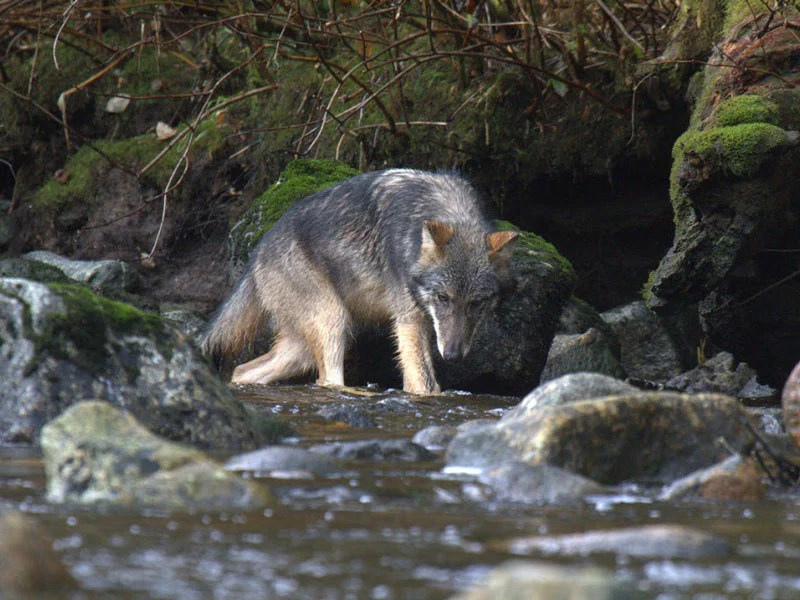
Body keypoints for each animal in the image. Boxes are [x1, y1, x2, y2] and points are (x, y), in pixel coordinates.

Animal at [200, 168, 520, 394]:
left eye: (476, 303)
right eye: (443, 298)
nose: (452, 356)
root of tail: (257, 253)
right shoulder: (409, 322)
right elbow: (425, 386)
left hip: (301, 349)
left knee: (242, 371)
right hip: (334, 321)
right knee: (327, 380)